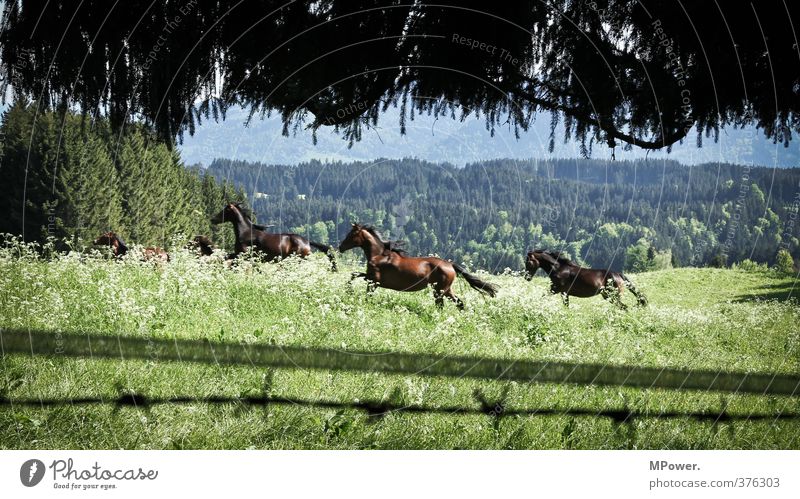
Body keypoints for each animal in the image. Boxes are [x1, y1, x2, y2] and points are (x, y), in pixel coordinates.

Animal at [340, 225, 500, 310]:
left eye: (351, 234)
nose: (340, 247)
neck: (379, 255)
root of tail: (450, 265)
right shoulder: (370, 279)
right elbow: (354, 274)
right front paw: (349, 290)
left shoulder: (374, 280)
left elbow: (360, 284)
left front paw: (350, 292)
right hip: (445, 290)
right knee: (457, 303)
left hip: (440, 290)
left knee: (443, 304)